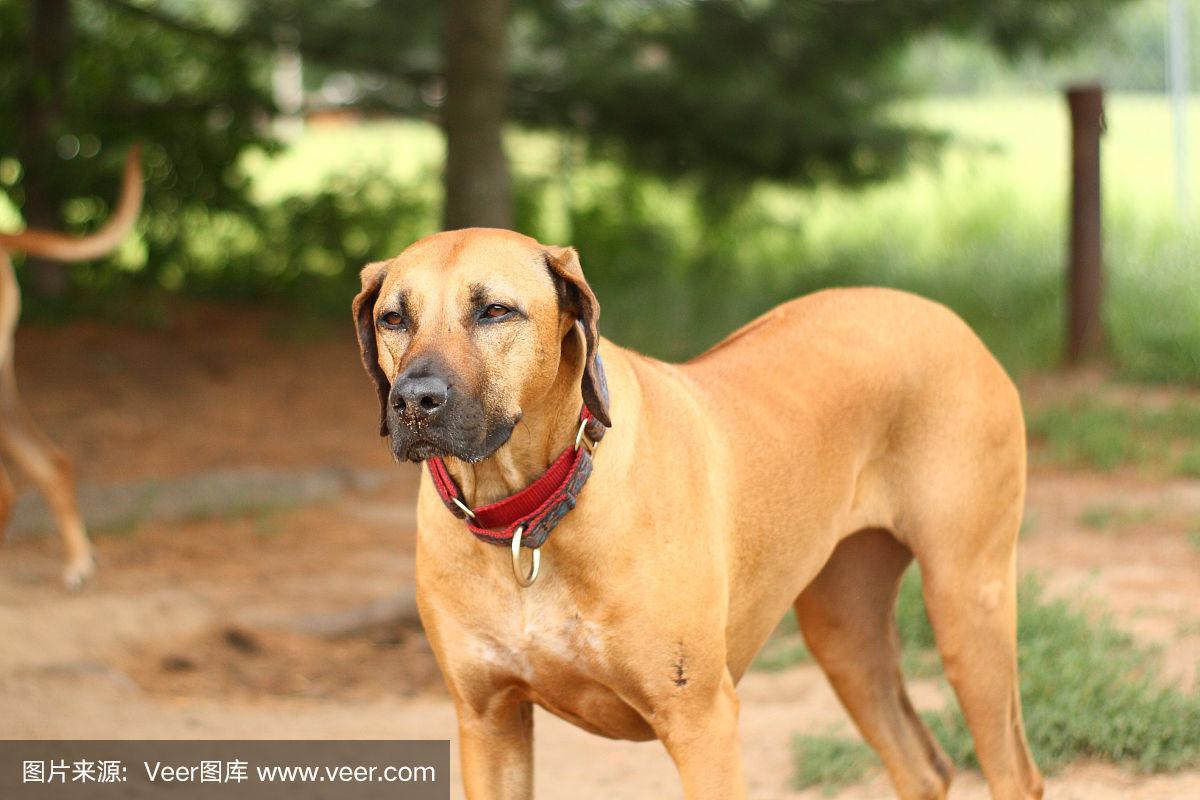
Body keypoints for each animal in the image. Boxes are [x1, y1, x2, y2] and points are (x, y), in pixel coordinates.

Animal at [353, 228, 1043, 800]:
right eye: (394, 318)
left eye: (495, 310)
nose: (414, 400)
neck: (526, 514)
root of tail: (941, 313)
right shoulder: (488, 722)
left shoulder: (701, 723)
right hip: (845, 632)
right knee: (921, 767)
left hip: (967, 606)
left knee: (1015, 773)